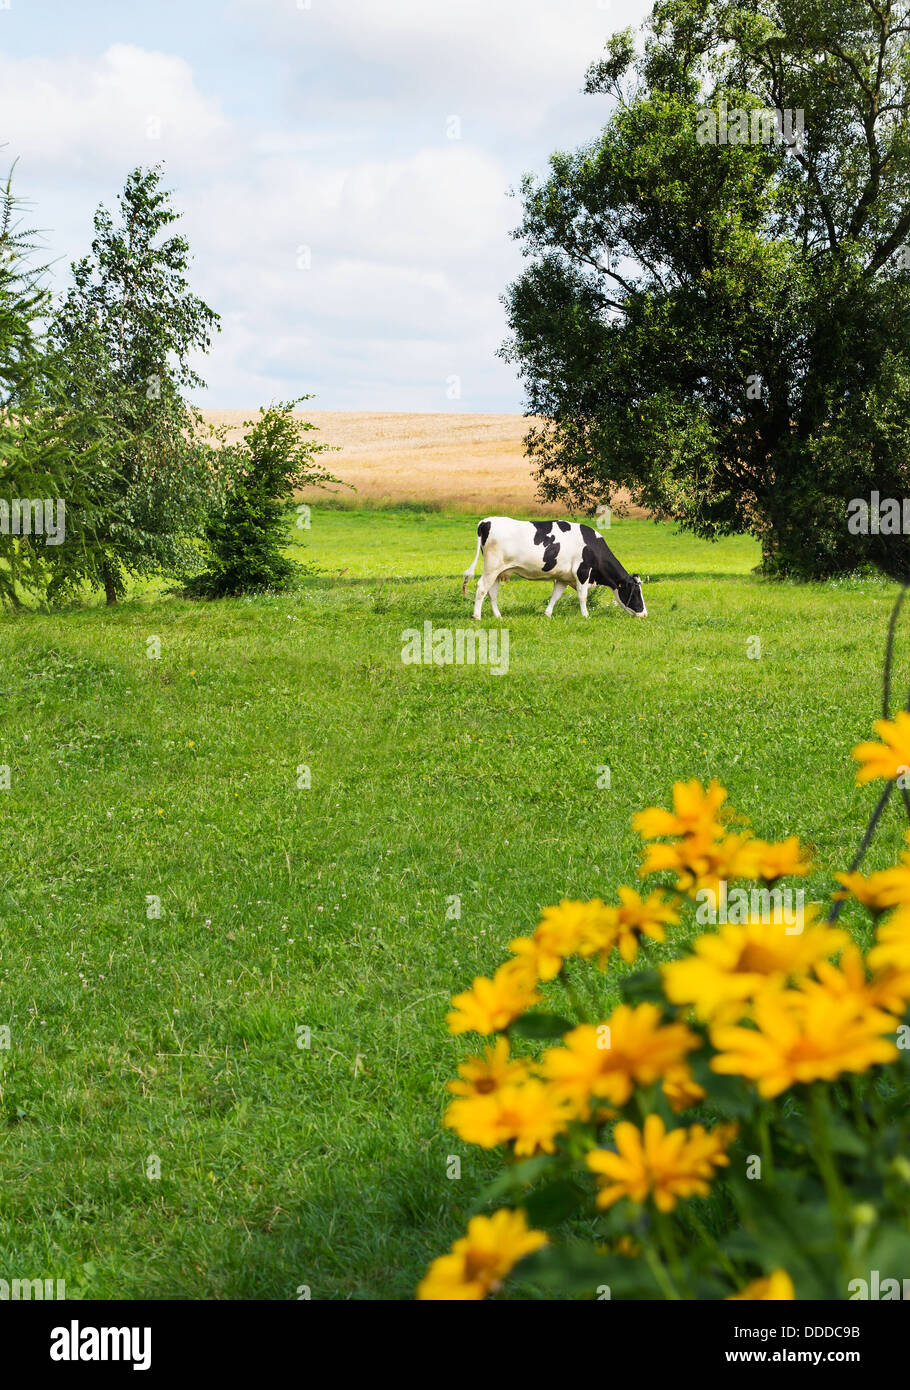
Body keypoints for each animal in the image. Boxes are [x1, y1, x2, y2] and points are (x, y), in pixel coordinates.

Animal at [464, 517, 647, 619]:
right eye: (636, 592)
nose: (644, 613)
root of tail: (486, 521)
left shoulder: (563, 578)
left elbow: (555, 596)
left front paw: (547, 614)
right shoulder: (582, 572)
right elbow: (583, 597)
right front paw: (586, 615)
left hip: (498, 571)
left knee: (492, 593)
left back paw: (498, 616)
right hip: (492, 567)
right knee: (481, 587)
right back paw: (477, 616)